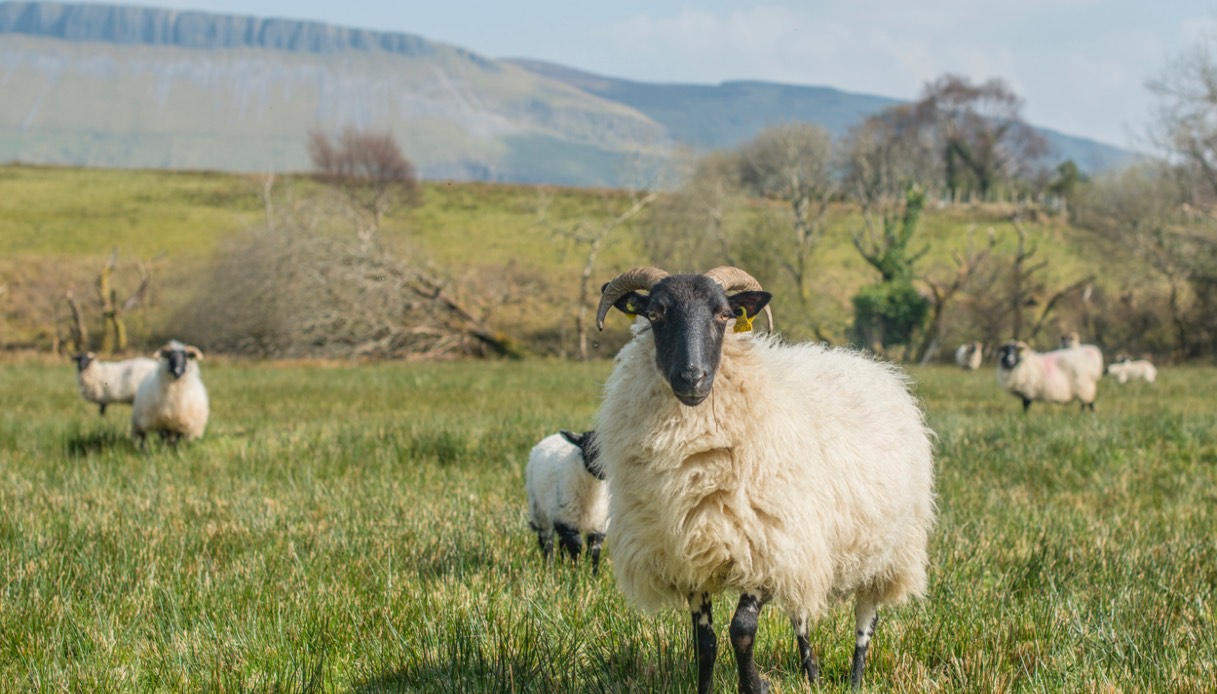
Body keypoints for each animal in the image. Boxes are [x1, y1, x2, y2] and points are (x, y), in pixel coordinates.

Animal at [523, 426, 608, 572]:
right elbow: (576, 547)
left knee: (561, 542)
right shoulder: (565, 519)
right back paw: (550, 568)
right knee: (547, 542)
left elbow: (594, 552)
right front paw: (576, 572)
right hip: (540, 511)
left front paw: (592, 575)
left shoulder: (599, 524)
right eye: (588, 448)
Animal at [593, 266, 934, 691]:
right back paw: (812, 675)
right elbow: (705, 643)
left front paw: (754, 684)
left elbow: (741, 631)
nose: (692, 378)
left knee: (865, 622)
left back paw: (855, 679)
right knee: (801, 615)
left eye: (724, 315)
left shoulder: (765, 552)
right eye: (655, 314)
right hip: (804, 550)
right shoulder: (692, 560)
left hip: (886, 554)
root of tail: (873, 366)